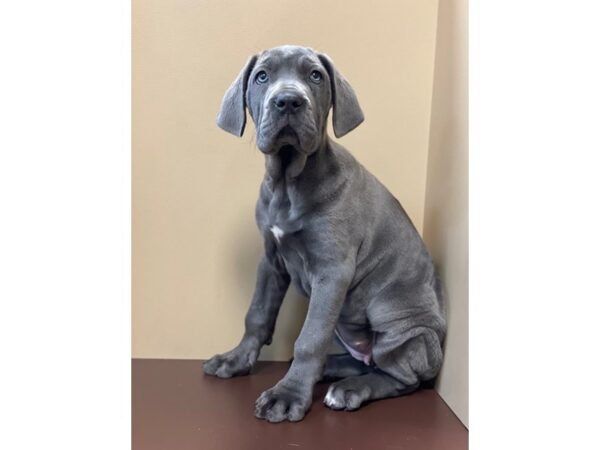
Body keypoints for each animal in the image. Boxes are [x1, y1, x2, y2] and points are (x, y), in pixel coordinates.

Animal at [205, 44, 446, 422]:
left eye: (315, 76)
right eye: (262, 76)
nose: (288, 101)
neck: (288, 181)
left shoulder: (333, 271)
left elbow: (310, 338)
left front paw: (287, 396)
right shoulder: (271, 260)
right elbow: (257, 314)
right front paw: (236, 360)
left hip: (397, 319)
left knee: (401, 377)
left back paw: (349, 390)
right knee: (366, 362)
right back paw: (332, 370)